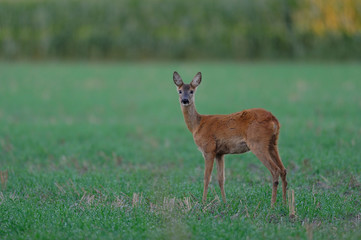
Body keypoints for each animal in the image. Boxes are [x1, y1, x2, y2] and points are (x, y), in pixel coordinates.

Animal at [172, 71, 286, 206]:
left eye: (191, 91)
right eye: (179, 91)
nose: (185, 100)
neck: (197, 125)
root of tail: (274, 120)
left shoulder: (208, 149)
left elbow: (207, 177)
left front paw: (203, 203)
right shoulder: (220, 153)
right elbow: (221, 178)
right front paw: (225, 202)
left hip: (257, 143)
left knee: (275, 170)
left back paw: (272, 205)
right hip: (273, 143)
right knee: (283, 169)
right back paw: (285, 203)